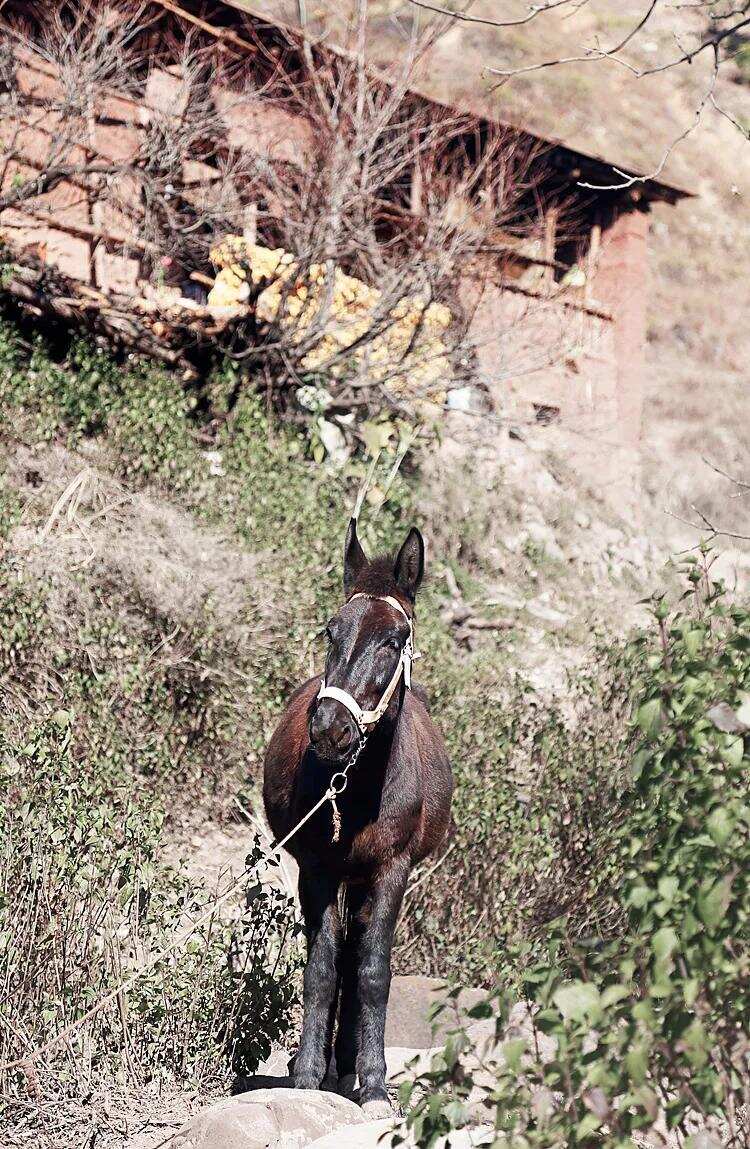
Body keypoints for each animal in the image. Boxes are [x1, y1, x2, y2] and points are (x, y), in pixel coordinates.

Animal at [263, 519, 450, 1112]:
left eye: (394, 640)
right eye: (331, 632)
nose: (329, 729)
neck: (361, 785)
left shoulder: (392, 871)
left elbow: (372, 971)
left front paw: (373, 1082)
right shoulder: (318, 868)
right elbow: (322, 967)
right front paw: (305, 1076)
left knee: (358, 952)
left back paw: (347, 1069)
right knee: (341, 950)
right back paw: (329, 1069)